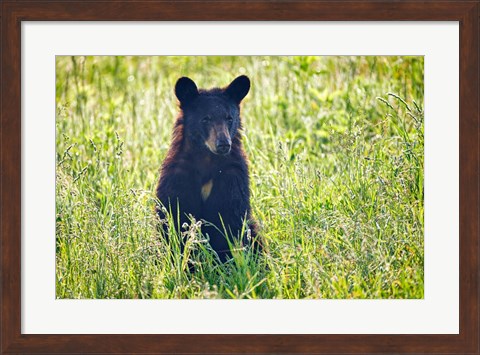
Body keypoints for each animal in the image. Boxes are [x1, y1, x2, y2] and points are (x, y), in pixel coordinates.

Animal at [157, 76, 260, 264]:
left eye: (229, 118)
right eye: (205, 119)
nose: (223, 144)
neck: (207, 159)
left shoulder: (232, 177)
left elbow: (229, 220)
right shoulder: (178, 176)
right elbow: (175, 215)